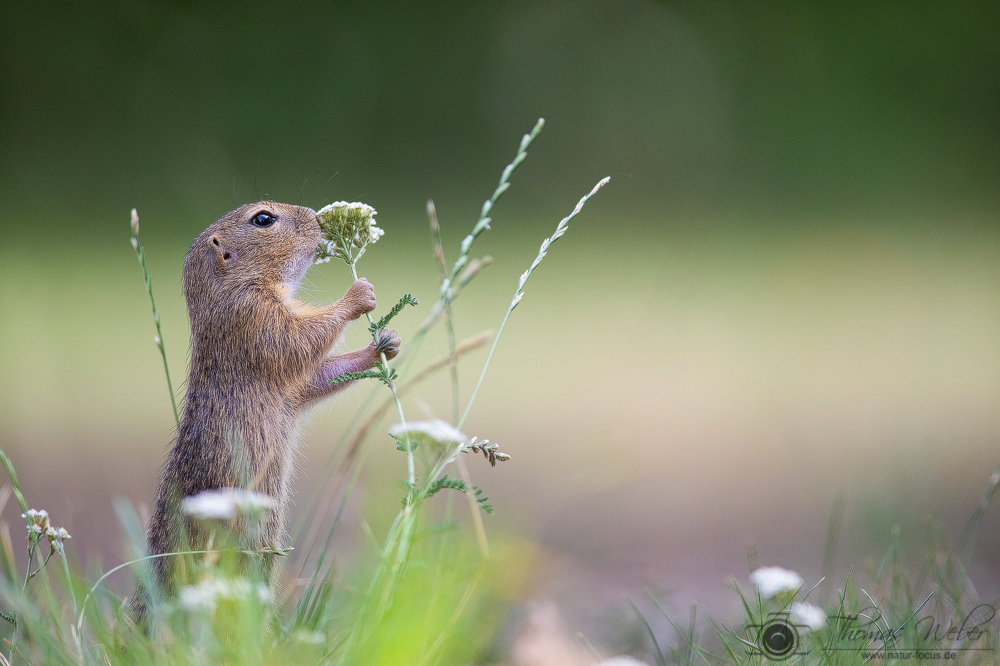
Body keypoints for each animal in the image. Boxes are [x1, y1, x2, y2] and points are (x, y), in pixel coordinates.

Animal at [132, 201, 398, 616]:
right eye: (263, 219)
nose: (316, 217)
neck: (229, 287)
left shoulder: (289, 386)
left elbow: (315, 377)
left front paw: (384, 344)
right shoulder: (253, 317)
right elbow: (298, 339)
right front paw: (358, 294)